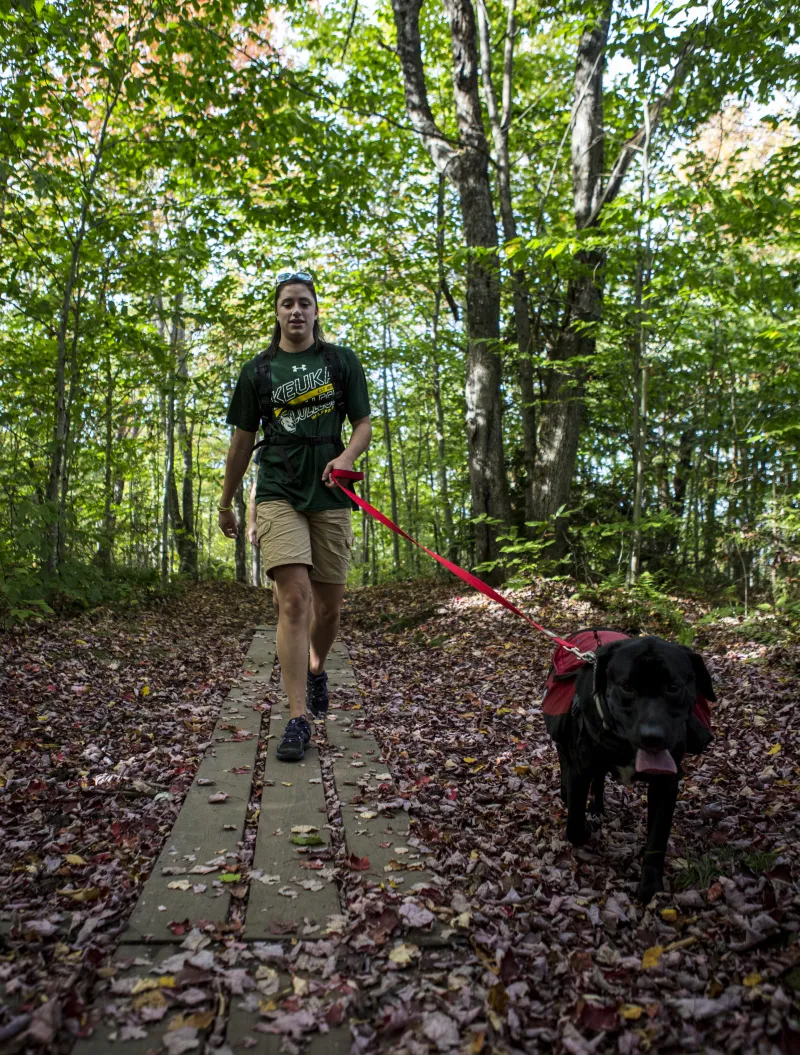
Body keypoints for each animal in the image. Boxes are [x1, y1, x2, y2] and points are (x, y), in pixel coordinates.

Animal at [553, 628, 713, 903]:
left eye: (673, 687)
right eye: (627, 687)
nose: (652, 736)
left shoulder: (665, 785)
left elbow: (657, 838)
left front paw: (650, 885)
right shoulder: (580, 770)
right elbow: (574, 824)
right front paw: (584, 829)